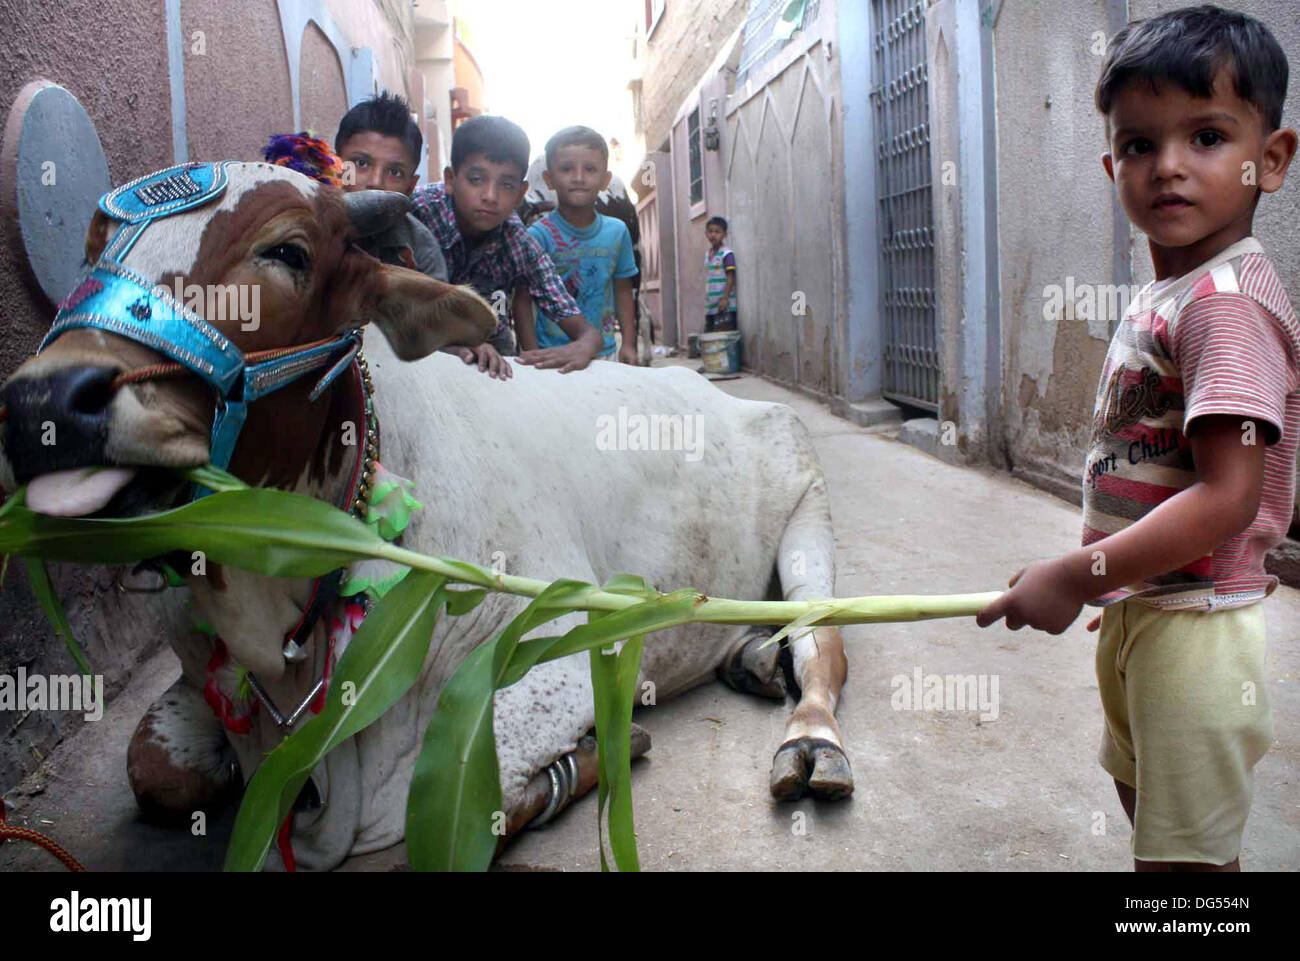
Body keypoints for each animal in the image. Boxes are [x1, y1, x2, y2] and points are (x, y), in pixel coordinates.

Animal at [0, 163, 852, 873]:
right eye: (91, 246)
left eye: (289, 251)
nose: (46, 400)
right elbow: (157, 772)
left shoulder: (560, 647)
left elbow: (448, 821)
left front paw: (593, 755)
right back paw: (750, 655)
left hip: (809, 510)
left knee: (824, 647)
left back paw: (811, 738)